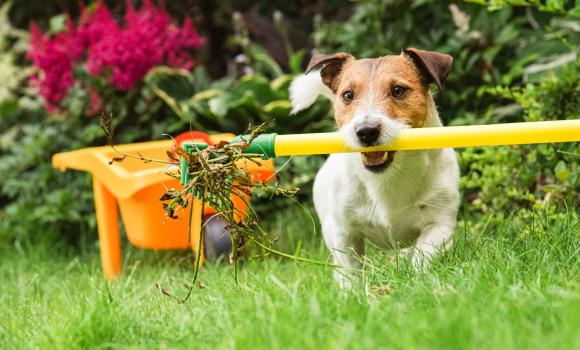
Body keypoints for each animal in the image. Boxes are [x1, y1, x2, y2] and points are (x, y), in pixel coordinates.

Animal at [290, 48, 462, 284]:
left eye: (398, 90)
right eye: (348, 95)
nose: (366, 131)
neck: (387, 178)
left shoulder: (439, 225)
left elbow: (422, 259)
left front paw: (416, 282)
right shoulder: (345, 233)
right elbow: (352, 270)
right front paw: (352, 290)